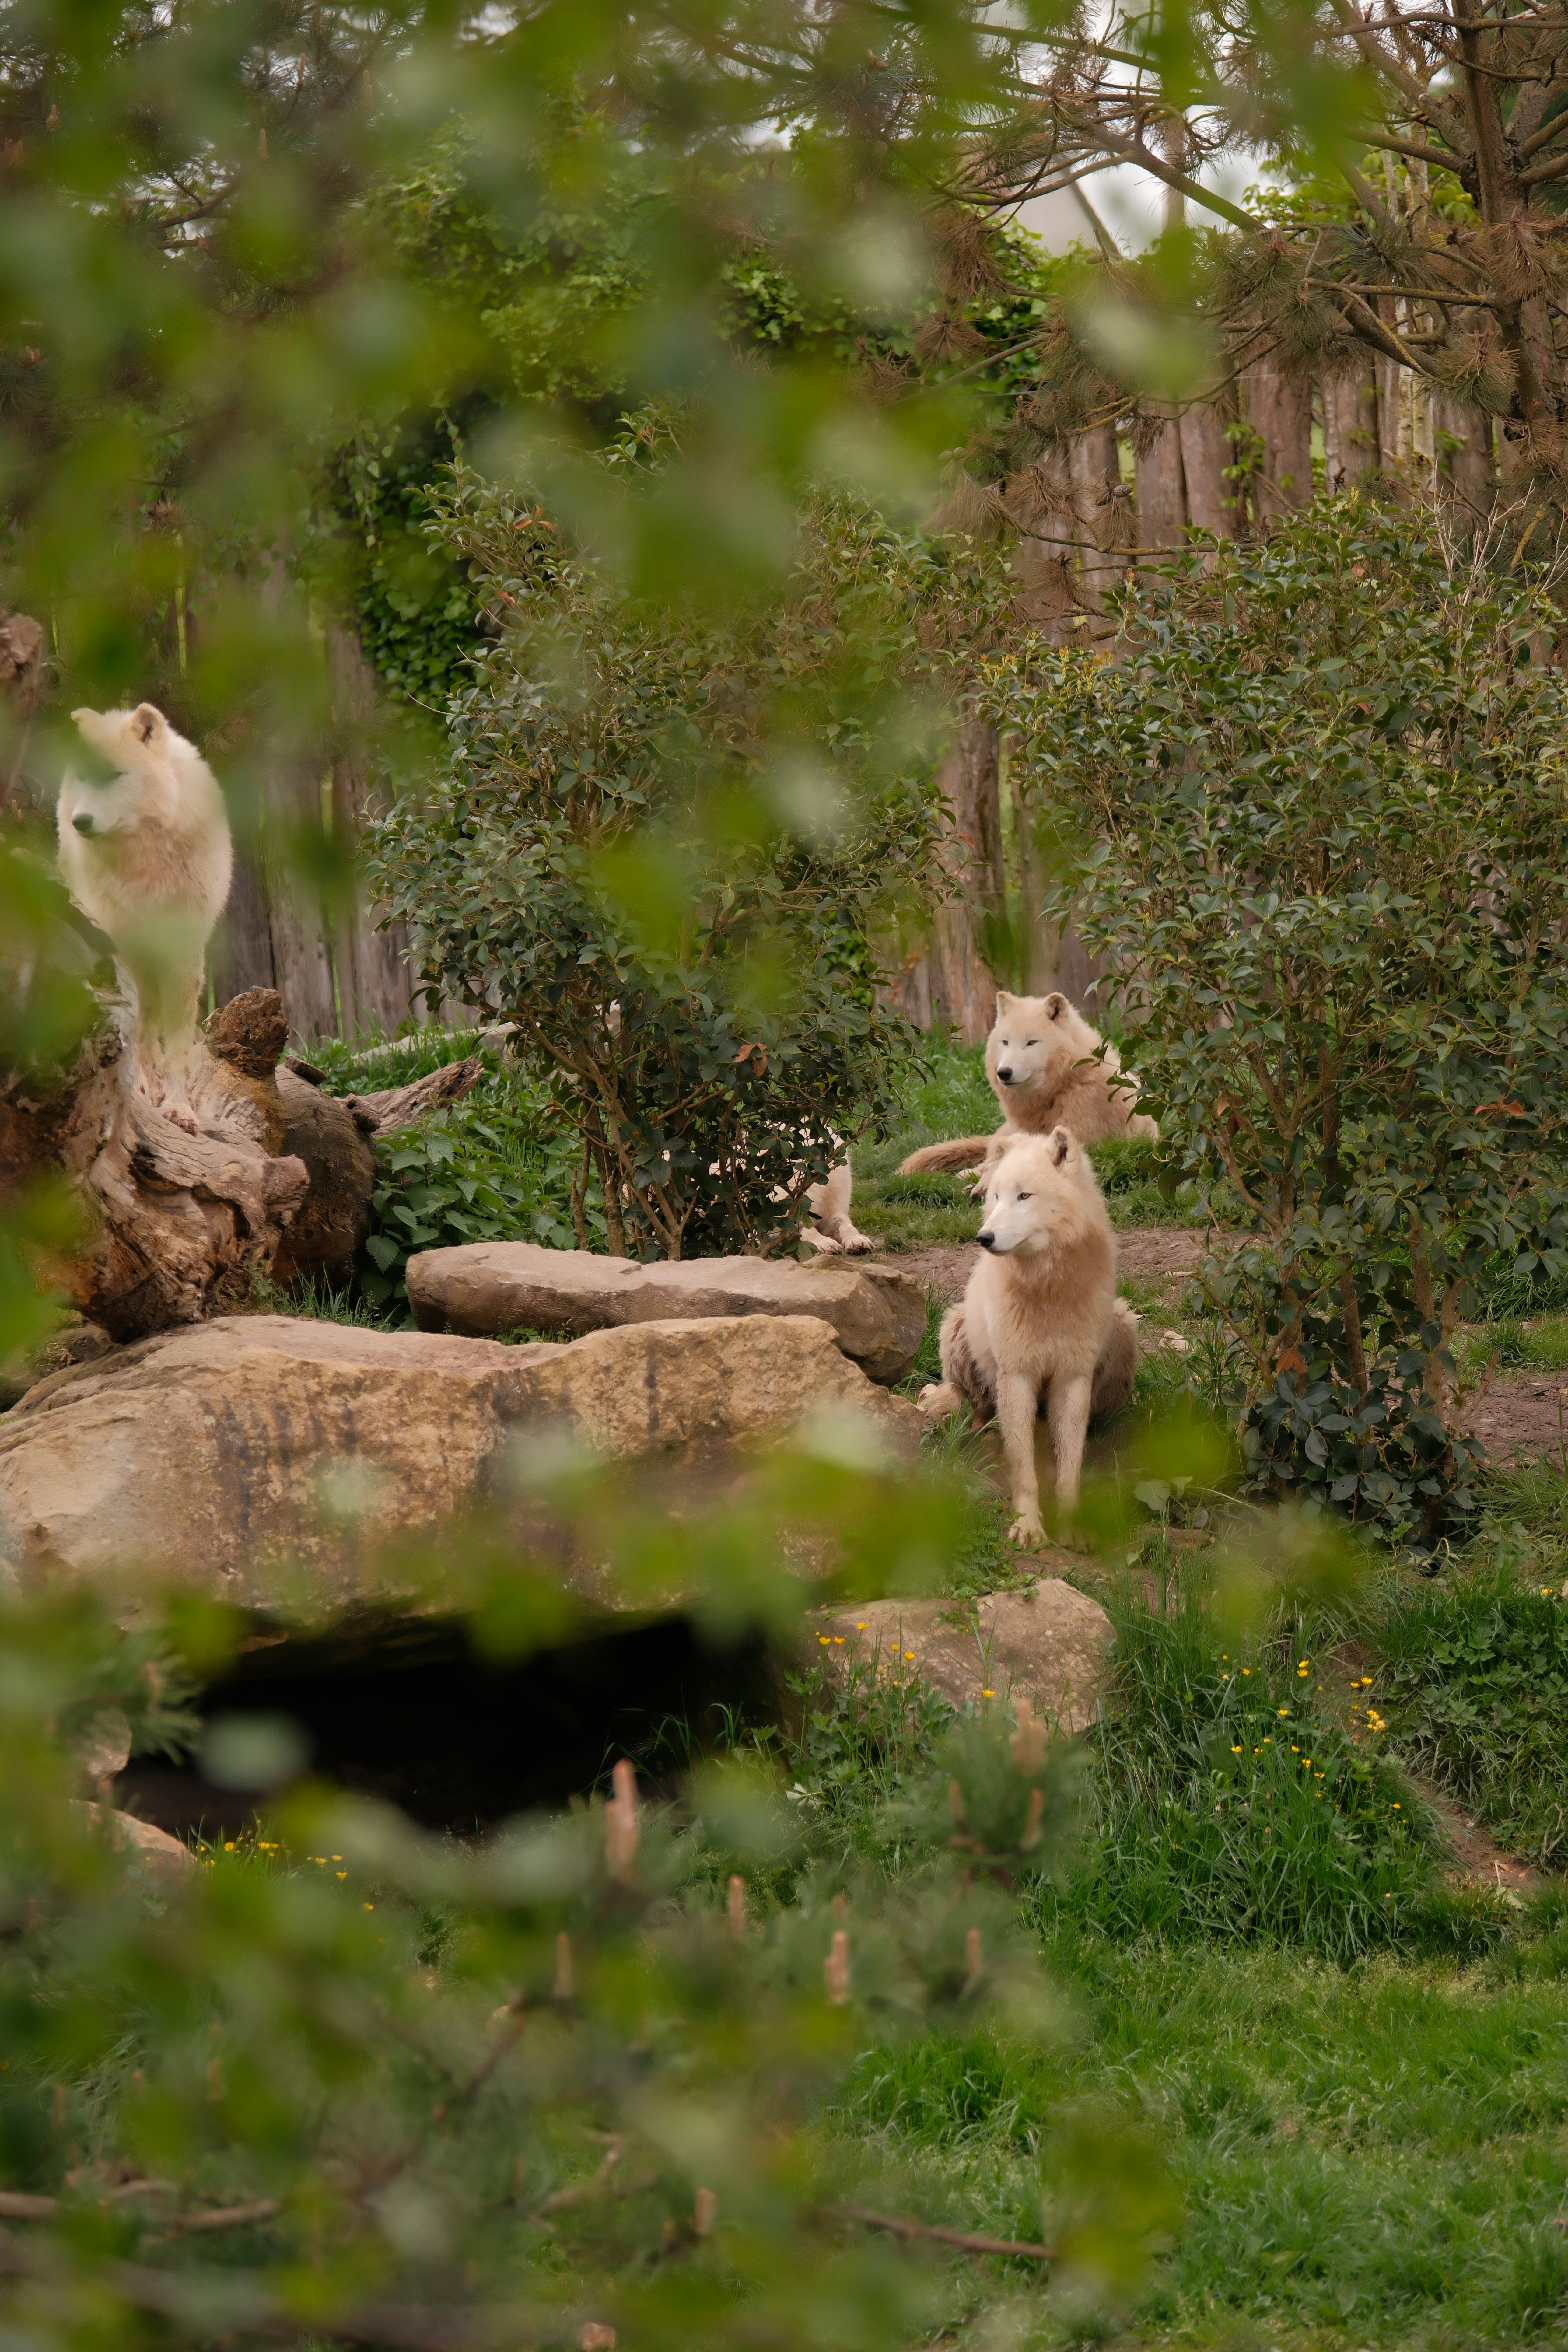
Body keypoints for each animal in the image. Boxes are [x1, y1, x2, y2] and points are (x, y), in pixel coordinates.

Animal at [57, 703, 232, 1128]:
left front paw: (179, 1107)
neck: (145, 860)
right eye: (86, 776)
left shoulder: (183, 954)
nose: (79, 821)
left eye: (114, 775)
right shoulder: (125, 946)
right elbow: (138, 1034)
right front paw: (146, 1091)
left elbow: (179, 1047)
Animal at [918, 1127, 1138, 1546]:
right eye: (995, 1197)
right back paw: (982, 1433)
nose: (983, 1238)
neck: (1047, 1290)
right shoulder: (1017, 1375)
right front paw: (1028, 1526)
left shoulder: (1073, 1378)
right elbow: (1023, 1467)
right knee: (975, 1409)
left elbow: (1070, 1463)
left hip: (1123, 1326)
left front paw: (1072, 1527)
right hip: (955, 1327)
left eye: (1024, 1197)